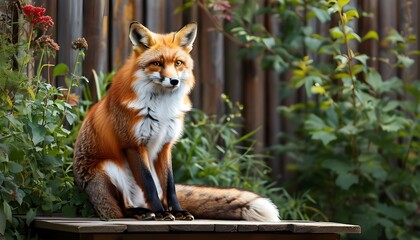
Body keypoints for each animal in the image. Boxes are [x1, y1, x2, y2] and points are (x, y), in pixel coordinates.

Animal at [74, 22, 280, 221]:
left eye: (178, 63)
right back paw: (145, 212)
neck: (161, 109)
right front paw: (161, 213)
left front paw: (177, 211)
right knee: (123, 208)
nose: (174, 81)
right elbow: (149, 184)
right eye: (157, 63)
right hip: (109, 168)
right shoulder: (134, 144)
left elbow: (170, 186)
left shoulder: (165, 145)